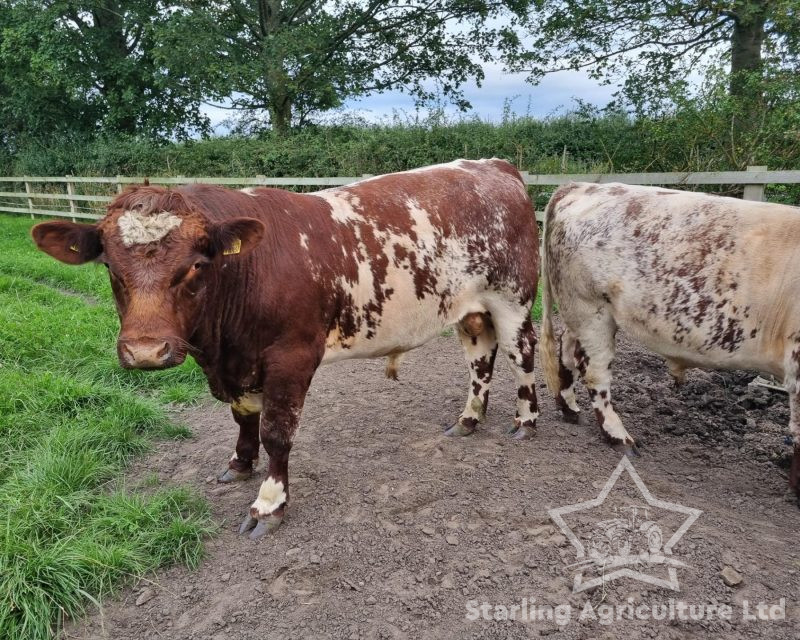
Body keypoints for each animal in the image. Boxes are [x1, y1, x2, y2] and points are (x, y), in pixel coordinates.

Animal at [34, 158, 540, 536]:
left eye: (196, 265)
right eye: (109, 266)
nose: (145, 351)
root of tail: (493, 166)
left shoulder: (291, 357)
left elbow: (276, 432)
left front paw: (268, 504)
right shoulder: (236, 363)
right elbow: (243, 417)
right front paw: (240, 463)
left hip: (512, 298)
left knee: (522, 355)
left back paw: (525, 422)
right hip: (470, 310)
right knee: (480, 358)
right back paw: (469, 419)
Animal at [536, 180, 800, 496]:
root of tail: (584, 186)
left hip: (580, 312)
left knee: (567, 353)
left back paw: (569, 408)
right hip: (591, 309)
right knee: (595, 374)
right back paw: (619, 437)